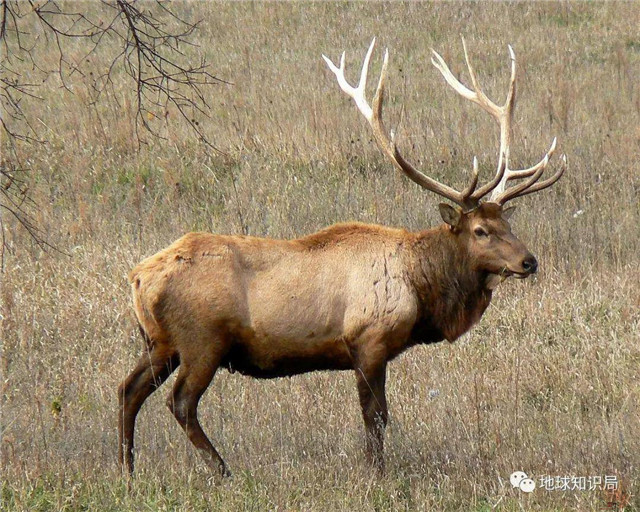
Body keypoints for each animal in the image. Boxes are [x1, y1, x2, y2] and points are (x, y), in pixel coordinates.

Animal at [117, 39, 564, 476]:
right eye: (480, 231)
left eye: (507, 222)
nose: (529, 261)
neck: (421, 288)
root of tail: (138, 277)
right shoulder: (368, 340)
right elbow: (376, 416)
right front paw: (376, 473)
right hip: (202, 339)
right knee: (180, 402)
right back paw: (222, 470)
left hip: (160, 341)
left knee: (128, 389)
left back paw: (127, 468)